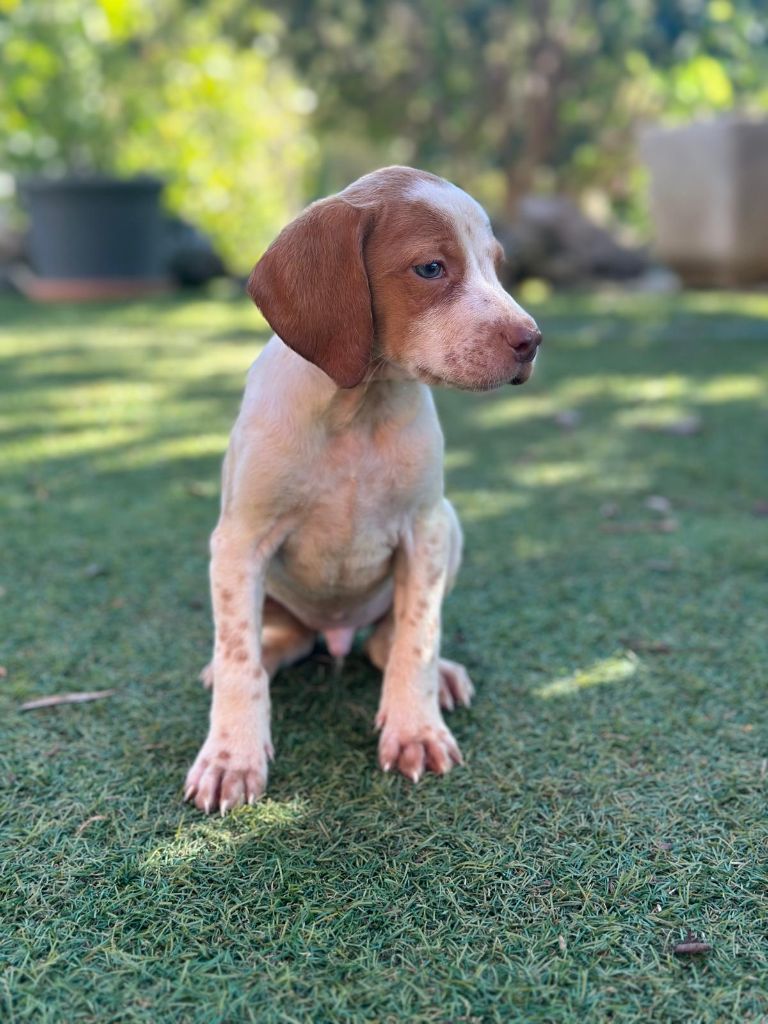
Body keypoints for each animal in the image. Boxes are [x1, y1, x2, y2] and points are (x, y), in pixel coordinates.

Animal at [185, 163, 540, 811]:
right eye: (431, 268)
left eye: (497, 265)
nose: (533, 340)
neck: (358, 408)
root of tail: (337, 633)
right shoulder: (240, 542)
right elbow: (240, 657)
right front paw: (231, 757)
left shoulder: (425, 529)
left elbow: (418, 639)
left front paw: (415, 729)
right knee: (275, 643)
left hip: (450, 528)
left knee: (387, 641)